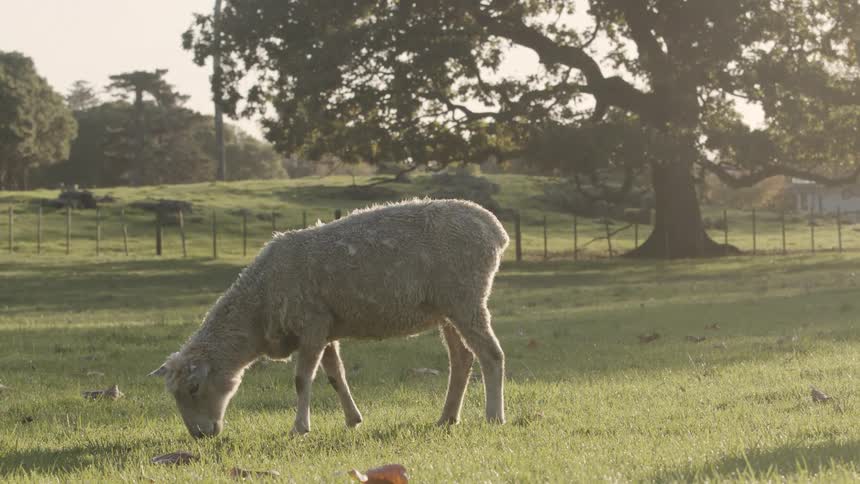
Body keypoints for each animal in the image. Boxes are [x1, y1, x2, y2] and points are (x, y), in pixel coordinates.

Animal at [150, 198, 510, 437]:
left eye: (194, 387)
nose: (200, 435)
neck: (257, 307)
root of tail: (494, 228)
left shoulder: (311, 324)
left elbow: (301, 380)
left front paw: (299, 428)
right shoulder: (325, 328)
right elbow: (336, 376)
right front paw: (353, 420)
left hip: (466, 299)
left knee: (491, 355)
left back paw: (494, 416)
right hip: (448, 310)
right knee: (462, 359)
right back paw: (447, 417)